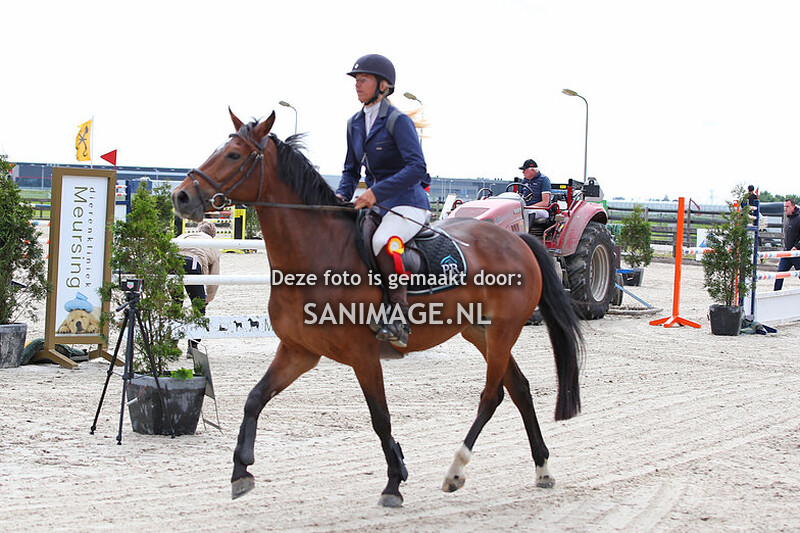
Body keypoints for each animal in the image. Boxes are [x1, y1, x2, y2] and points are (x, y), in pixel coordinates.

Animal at [172, 109, 584, 507]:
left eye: (233, 155)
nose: (180, 196)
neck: (315, 255)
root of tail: (517, 239)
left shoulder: (363, 354)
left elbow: (380, 417)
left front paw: (394, 482)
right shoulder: (298, 351)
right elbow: (254, 399)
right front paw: (240, 472)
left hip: (502, 331)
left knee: (491, 395)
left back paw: (456, 471)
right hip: (479, 332)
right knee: (518, 388)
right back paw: (542, 469)